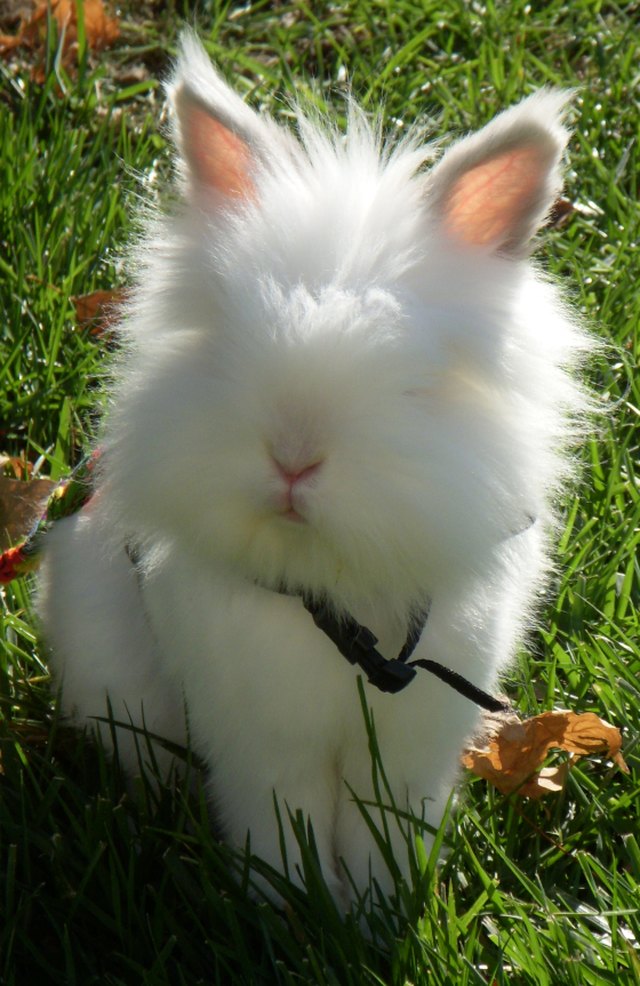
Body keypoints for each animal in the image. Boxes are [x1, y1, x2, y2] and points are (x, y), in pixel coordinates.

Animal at [39, 31, 592, 909]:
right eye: (228, 344)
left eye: (417, 382)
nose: (294, 460)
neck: (336, 594)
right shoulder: (260, 733)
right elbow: (280, 811)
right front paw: (289, 902)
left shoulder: (410, 740)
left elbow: (384, 822)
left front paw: (376, 909)